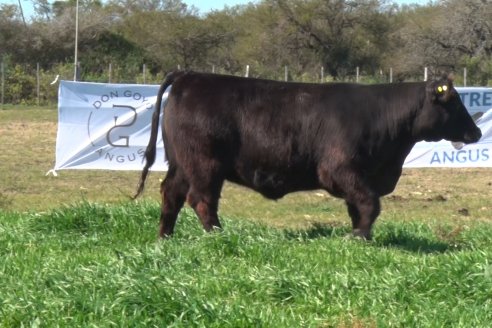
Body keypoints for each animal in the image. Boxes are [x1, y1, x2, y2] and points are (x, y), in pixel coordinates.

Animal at [135, 72, 480, 240]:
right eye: (454, 102)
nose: (476, 132)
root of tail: (190, 76)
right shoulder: (340, 168)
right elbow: (370, 203)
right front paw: (359, 236)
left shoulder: (358, 177)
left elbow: (357, 207)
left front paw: (361, 234)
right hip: (205, 164)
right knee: (202, 200)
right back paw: (217, 236)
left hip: (182, 163)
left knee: (171, 194)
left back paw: (165, 238)